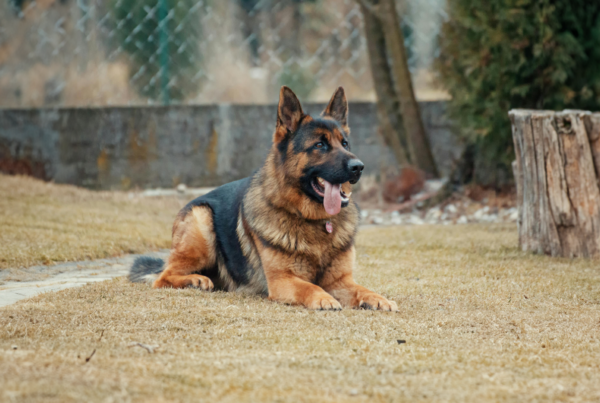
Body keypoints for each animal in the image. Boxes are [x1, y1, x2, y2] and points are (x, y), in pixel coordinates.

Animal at [129, 87, 396, 310]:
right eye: (320, 145)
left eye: (345, 143)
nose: (358, 167)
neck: (314, 221)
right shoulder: (282, 280)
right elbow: (310, 286)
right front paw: (323, 298)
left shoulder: (342, 280)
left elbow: (363, 289)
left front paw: (379, 298)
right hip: (201, 220)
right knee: (163, 277)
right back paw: (195, 279)